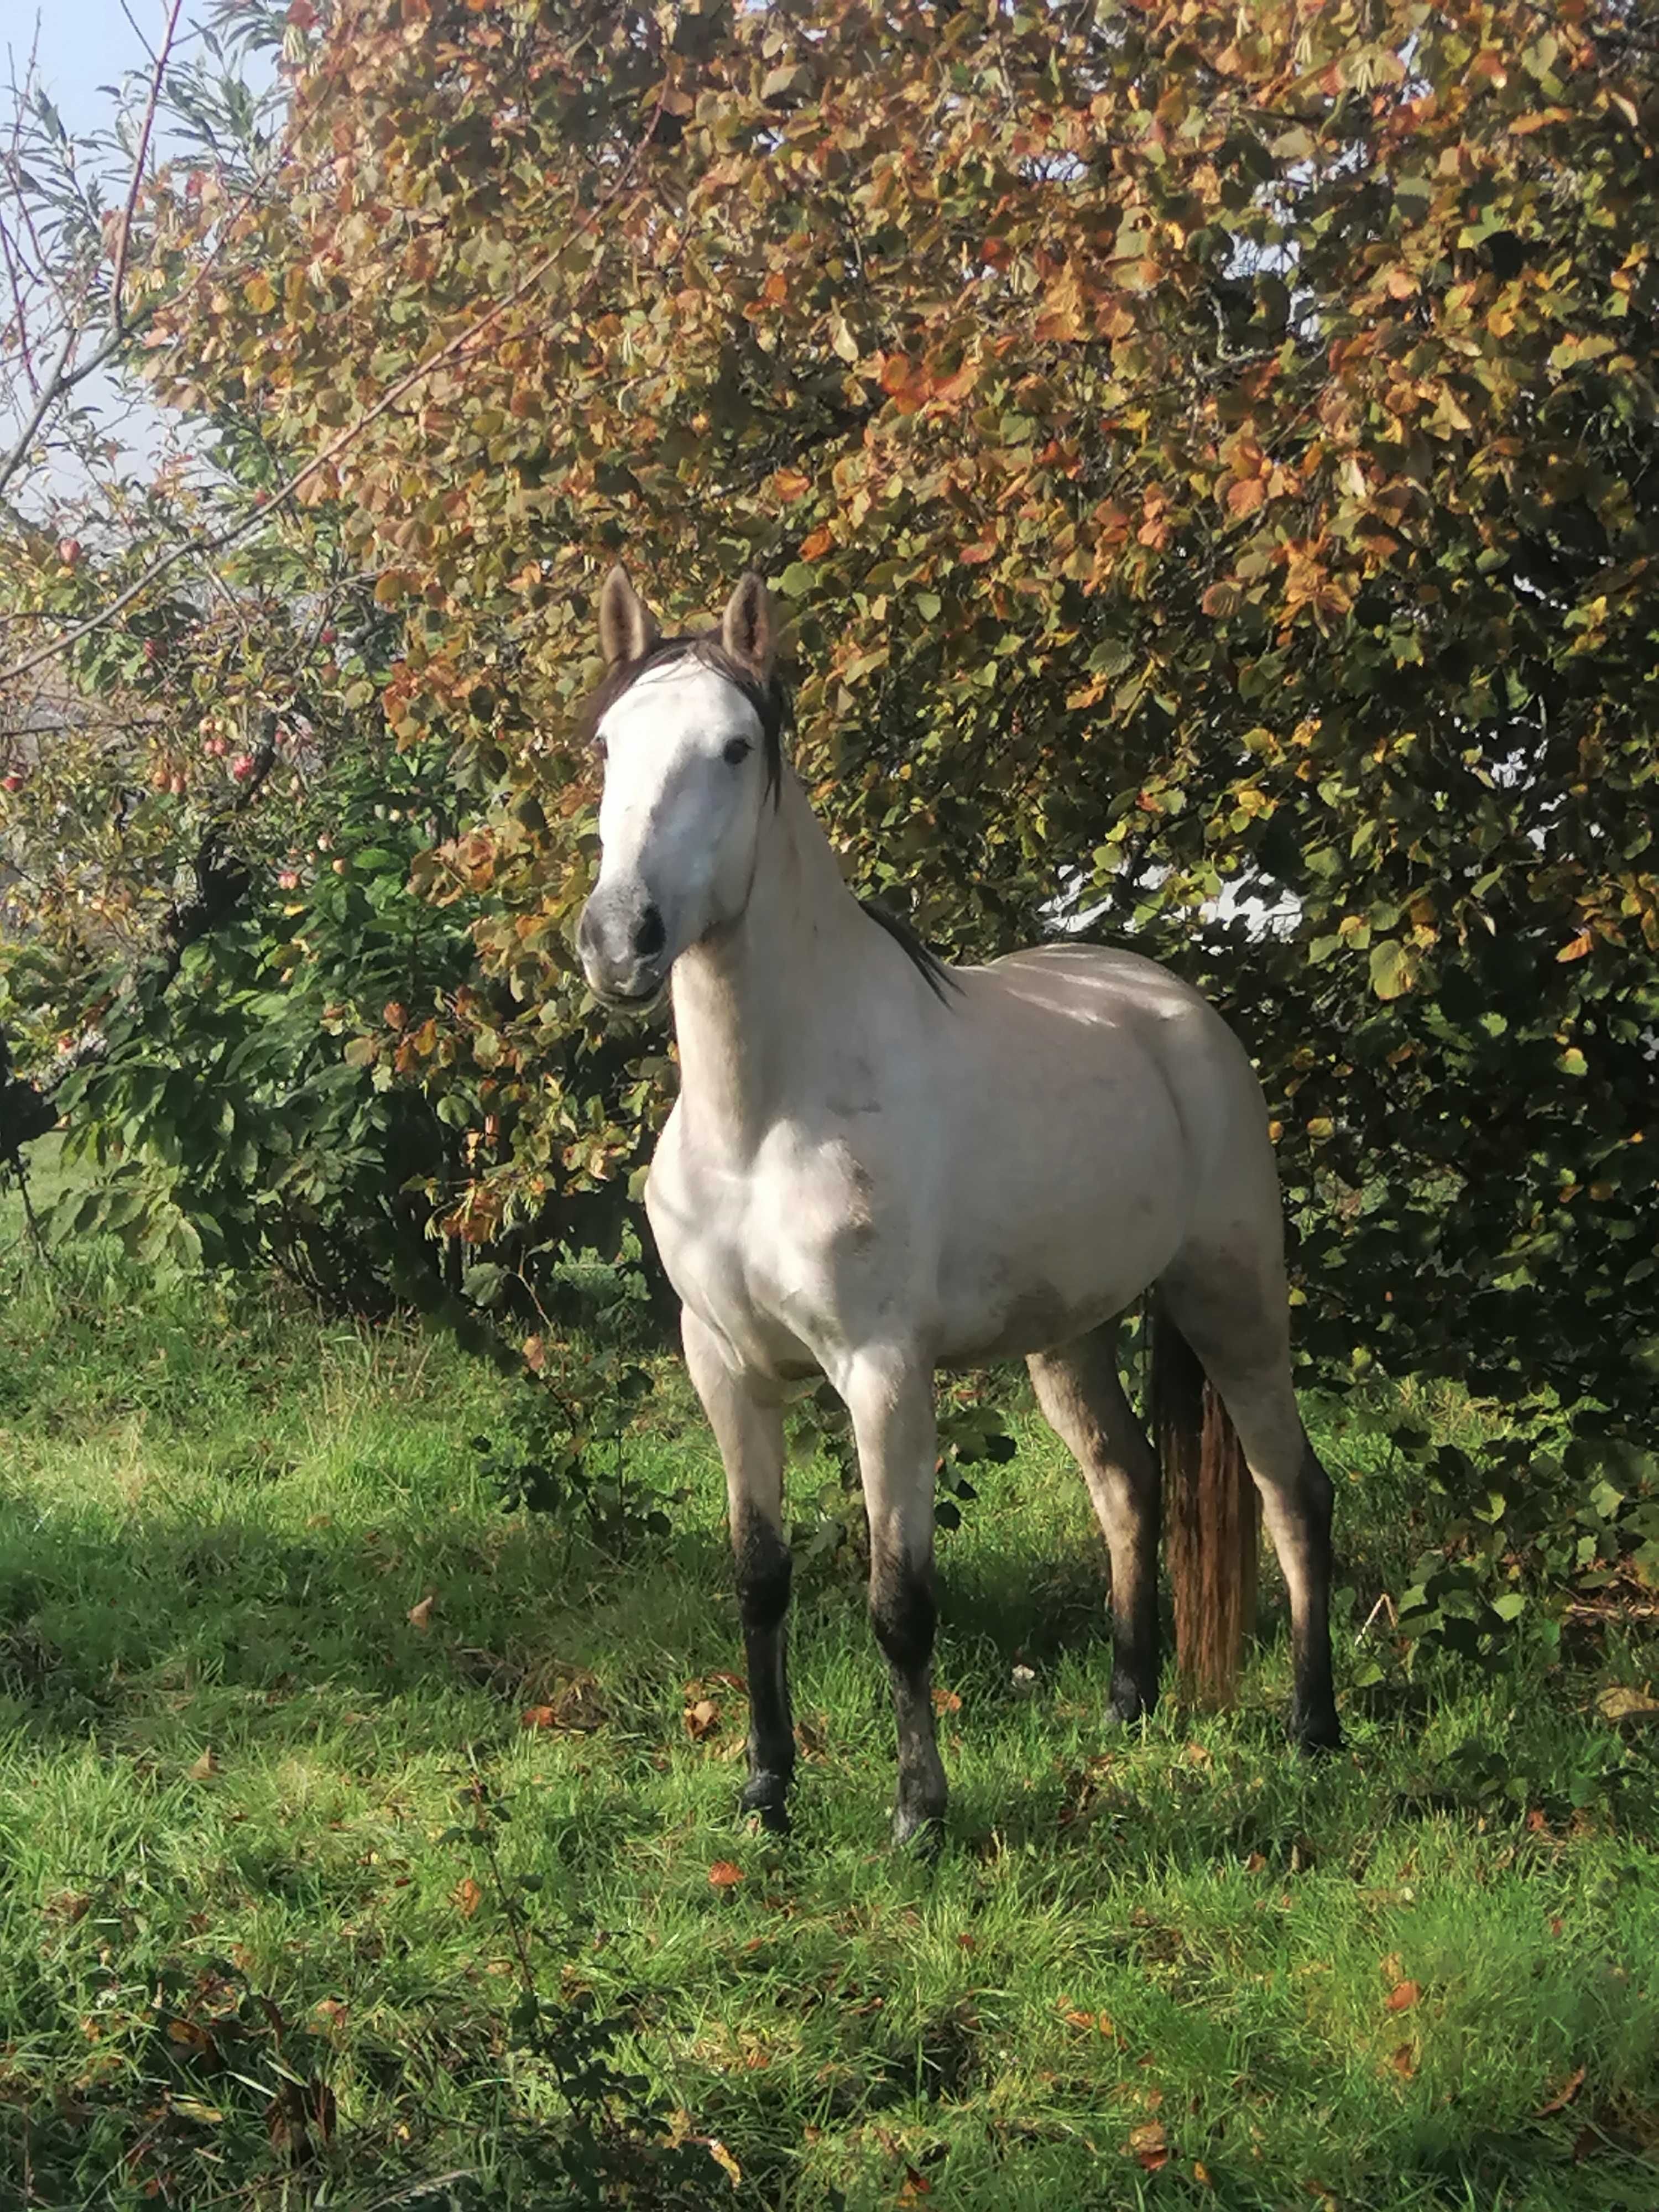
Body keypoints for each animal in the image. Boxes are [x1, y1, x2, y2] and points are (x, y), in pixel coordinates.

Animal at [580, 562, 1345, 1840]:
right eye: (605, 743)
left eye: (736, 747)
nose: (619, 939)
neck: (768, 1117)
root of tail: (1177, 1009)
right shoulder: (725, 1367)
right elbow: (759, 1581)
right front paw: (768, 1791)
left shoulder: (885, 1375)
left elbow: (901, 1601)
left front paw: (918, 1814)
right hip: (1070, 1337)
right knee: (1128, 1482)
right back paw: (1127, 1703)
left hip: (1235, 1304)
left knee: (1293, 1495)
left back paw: (1315, 1726)